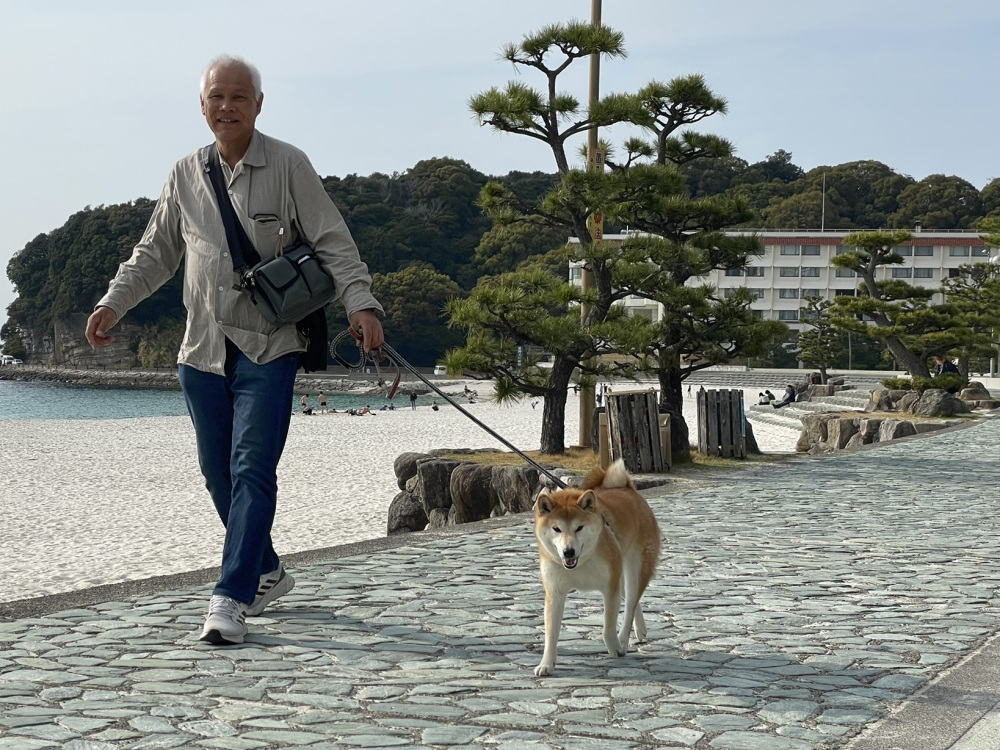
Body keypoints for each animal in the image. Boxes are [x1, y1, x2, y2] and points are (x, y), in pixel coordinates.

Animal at [532, 459, 661, 676]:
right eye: (556, 529)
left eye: (579, 528)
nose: (568, 552)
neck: (581, 562)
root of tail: (627, 488)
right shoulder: (555, 593)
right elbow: (551, 634)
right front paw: (546, 664)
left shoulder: (610, 588)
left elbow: (608, 627)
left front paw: (614, 646)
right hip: (621, 575)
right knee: (632, 601)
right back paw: (640, 628)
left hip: (635, 570)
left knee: (631, 603)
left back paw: (623, 640)